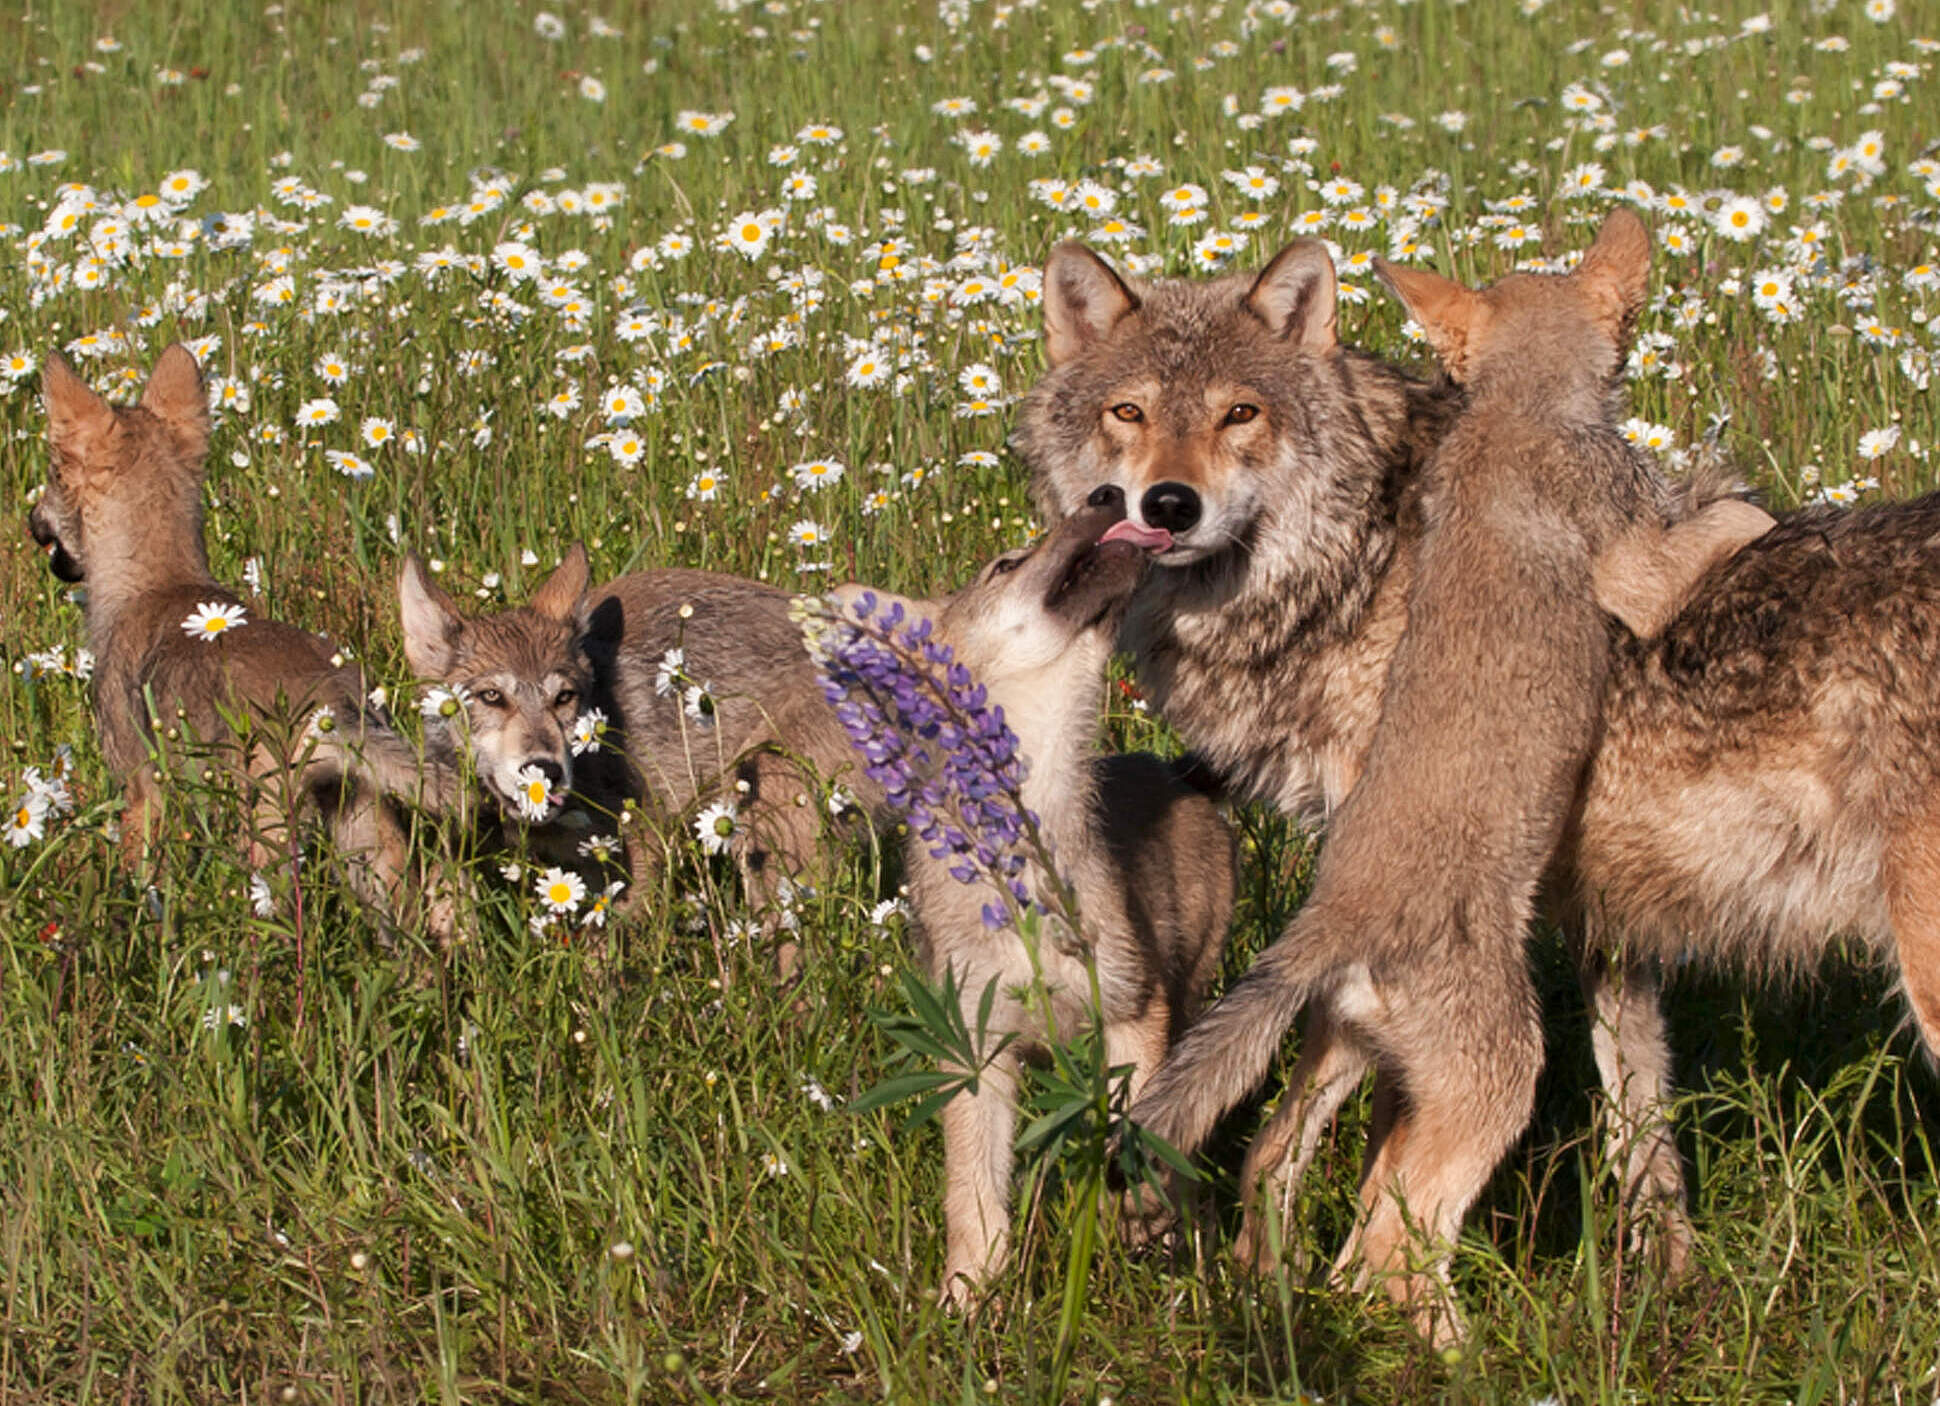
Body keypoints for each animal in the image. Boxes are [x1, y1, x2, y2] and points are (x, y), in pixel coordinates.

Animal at [29, 346, 458, 935]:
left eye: (52, 472)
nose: (30, 521)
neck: (155, 584)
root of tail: (331, 705)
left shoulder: (142, 793)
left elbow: (140, 885)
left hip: (267, 842)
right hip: (367, 840)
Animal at [820, 499, 1235, 1306]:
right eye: (1005, 564)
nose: (1106, 494)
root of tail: (1174, 770)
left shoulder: (1134, 1012)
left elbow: (1135, 1134)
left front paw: (1137, 1232)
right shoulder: (973, 1054)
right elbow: (974, 1198)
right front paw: (968, 1297)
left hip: (1187, 994)